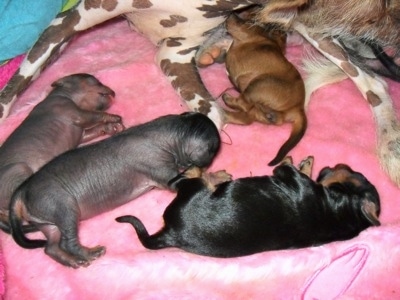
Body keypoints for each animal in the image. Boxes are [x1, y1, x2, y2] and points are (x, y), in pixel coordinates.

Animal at [0, 73, 123, 232]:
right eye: (95, 81)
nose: (113, 92)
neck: (63, 95)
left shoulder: (81, 134)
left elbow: (93, 130)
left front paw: (111, 127)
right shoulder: (74, 112)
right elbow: (95, 114)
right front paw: (113, 117)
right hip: (18, 170)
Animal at [8, 111, 222, 268]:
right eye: (213, 150)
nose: (210, 161)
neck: (166, 133)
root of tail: (21, 191)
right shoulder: (163, 173)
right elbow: (191, 177)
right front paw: (217, 176)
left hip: (45, 218)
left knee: (50, 247)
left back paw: (72, 261)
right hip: (60, 205)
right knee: (66, 241)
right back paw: (88, 253)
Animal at [117, 157, 380, 258]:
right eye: (359, 173)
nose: (342, 164)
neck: (340, 213)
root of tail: (170, 233)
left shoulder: (290, 177)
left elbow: (287, 167)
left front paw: (300, 162)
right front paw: (307, 162)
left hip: (192, 190)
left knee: (183, 178)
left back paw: (211, 174)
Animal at [222, 12, 306, 165]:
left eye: (249, 22)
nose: (231, 13)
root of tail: (299, 108)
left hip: (258, 83)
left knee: (245, 104)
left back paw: (229, 100)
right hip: (256, 105)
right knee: (247, 118)